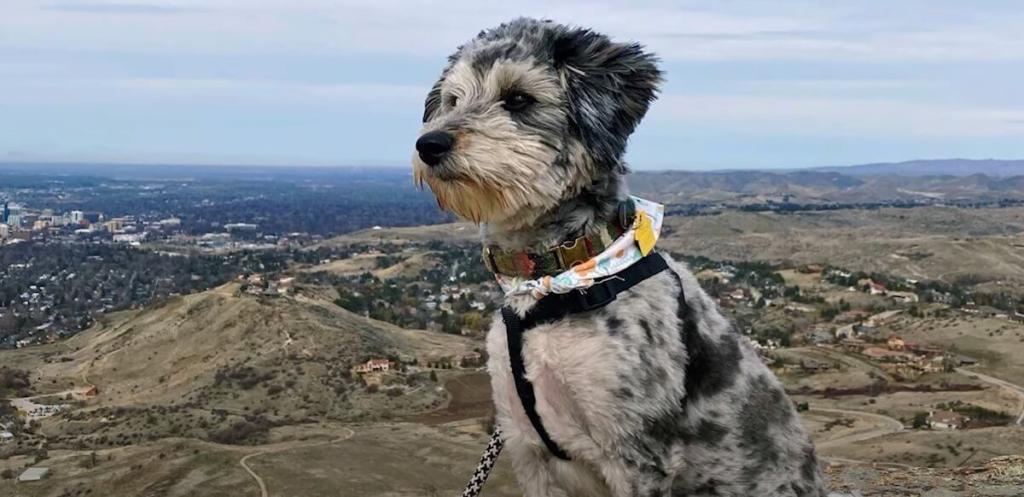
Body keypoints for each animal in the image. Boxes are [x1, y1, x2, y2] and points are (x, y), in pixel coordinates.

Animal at [411, 17, 827, 493]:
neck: (559, 277)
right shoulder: (527, 448)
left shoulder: (636, 455)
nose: (430, 144)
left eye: (517, 98)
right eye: (452, 100)